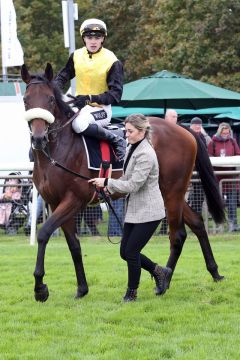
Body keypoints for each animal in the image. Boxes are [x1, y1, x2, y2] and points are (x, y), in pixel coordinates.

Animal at [20, 64, 225, 300]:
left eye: (50, 99)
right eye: (26, 99)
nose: (38, 138)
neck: (58, 151)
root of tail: (183, 129)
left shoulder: (74, 200)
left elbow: (44, 233)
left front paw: (40, 288)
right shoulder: (55, 202)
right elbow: (73, 244)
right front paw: (82, 288)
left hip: (172, 192)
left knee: (177, 235)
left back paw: (164, 281)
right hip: (166, 191)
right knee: (198, 224)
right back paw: (212, 271)